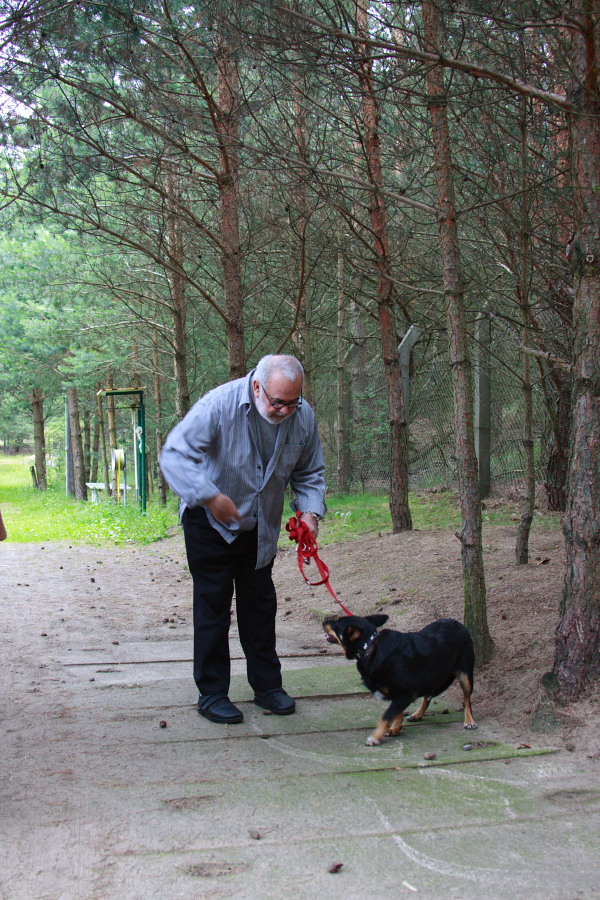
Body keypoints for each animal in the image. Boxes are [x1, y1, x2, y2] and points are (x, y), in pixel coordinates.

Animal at [324, 612, 478, 744]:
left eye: (336, 624)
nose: (324, 620)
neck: (370, 645)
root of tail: (458, 623)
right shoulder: (398, 695)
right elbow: (397, 713)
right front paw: (395, 728)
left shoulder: (404, 695)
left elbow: (387, 715)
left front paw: (376, 737)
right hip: (431, 676)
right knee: (427, 696)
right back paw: (418, 714)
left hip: (465, 675)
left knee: (467, 700)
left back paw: (469, 721)